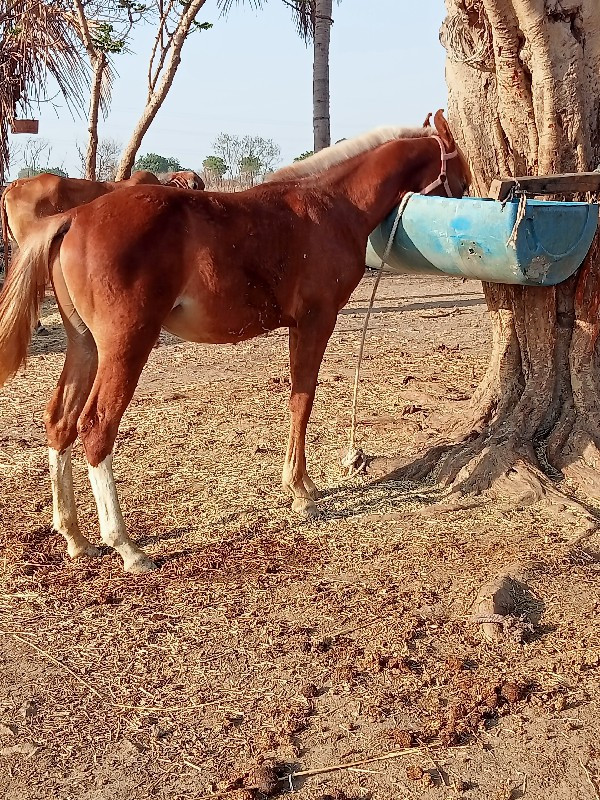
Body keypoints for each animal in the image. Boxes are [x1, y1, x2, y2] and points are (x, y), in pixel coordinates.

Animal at [0, 114, 468, 576]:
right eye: (459, 171)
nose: (469, 202)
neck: (330, 206)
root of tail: (74, 217)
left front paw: (305, 486)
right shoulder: (315, 322)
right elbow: (302, 400)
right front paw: (301, 493)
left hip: (84, 345)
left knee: (60, 421)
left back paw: (76, 538)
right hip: (125, 345)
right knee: (96, 426)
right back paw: (126, 546)